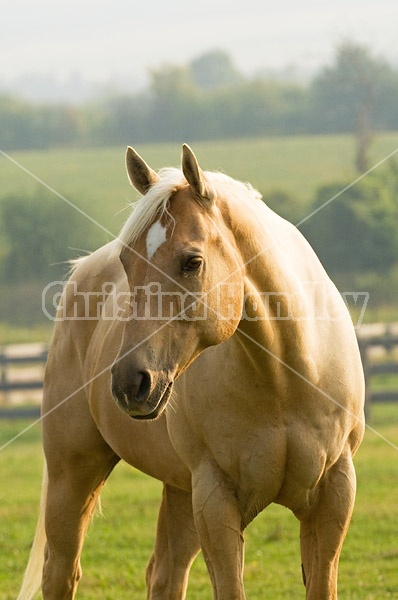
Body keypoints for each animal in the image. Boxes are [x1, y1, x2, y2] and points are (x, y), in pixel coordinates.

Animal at [20, 145, 366, 600]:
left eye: (192, 261)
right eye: (127, 261)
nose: (130, 384)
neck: (283, 380)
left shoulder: (333, 497)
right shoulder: (215, 500)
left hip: (179, 491)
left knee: (164, 575)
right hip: (73, 473)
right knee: (60, 572)